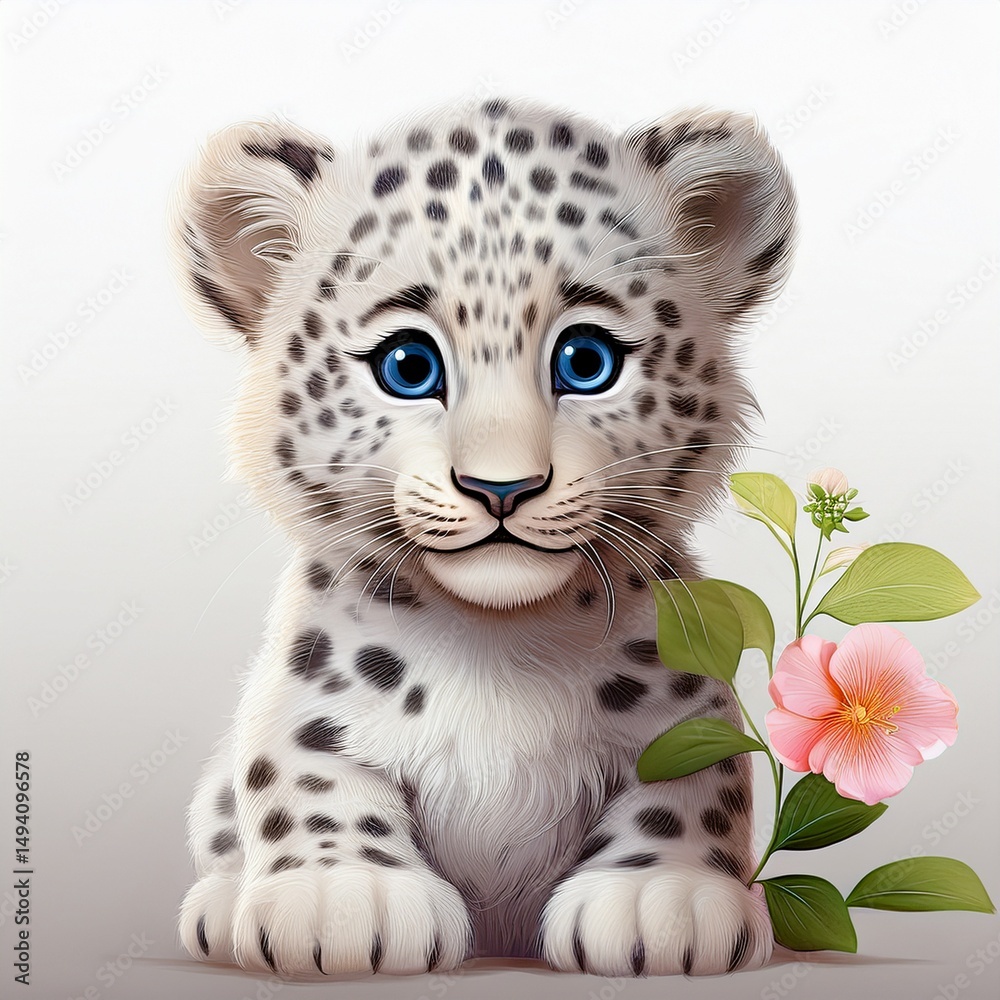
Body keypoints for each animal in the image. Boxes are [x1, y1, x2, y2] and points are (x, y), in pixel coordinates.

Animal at [169, 95, 795, 978]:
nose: (502, 487)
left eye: (586, 359)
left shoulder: (685, 707)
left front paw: (661, 900)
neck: (499, 645)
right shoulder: (298, 705)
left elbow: (693, 788)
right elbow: (301, 778)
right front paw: (344, 899)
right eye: (408, 365)